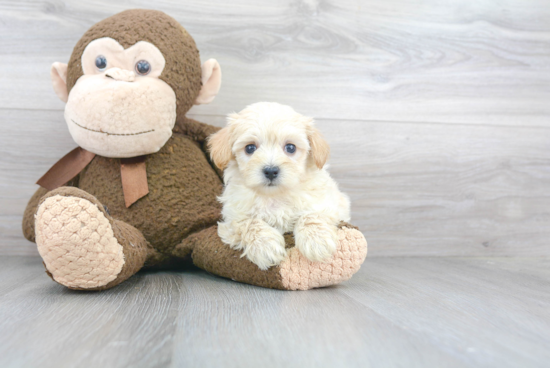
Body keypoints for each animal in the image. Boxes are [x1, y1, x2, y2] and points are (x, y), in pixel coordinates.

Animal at [209, 103, 352, 270]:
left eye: (290, 148)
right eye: (250, 148)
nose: (271, 171)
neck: (274, 195)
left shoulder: (328, 204)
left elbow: (311, 215)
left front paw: (317, 241)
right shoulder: (232, 218)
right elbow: (249, 222)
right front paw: (265, 247)